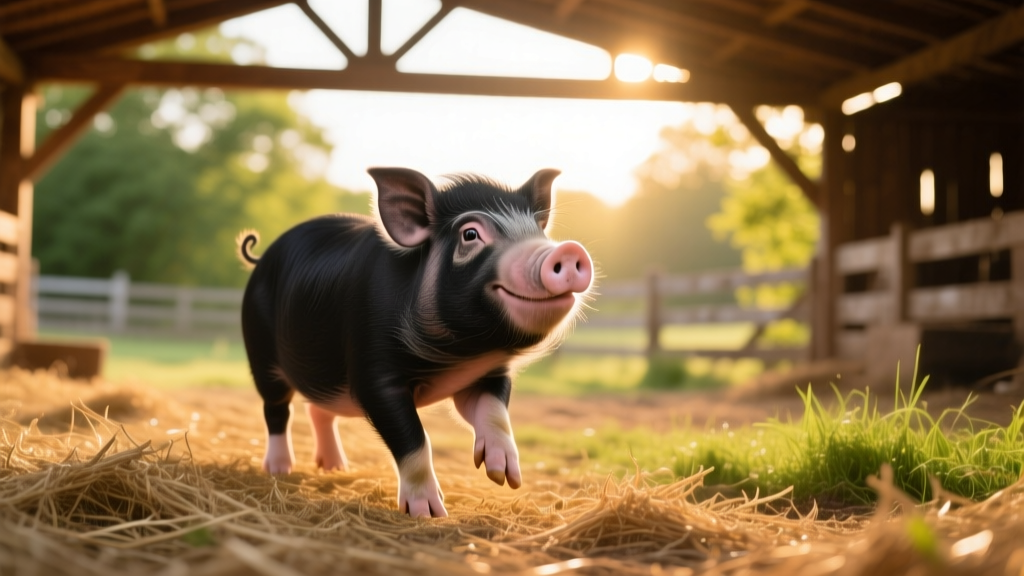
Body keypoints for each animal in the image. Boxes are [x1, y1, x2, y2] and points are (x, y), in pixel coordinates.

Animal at [236, 167, 593, 518]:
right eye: (470, 235)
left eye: (537, 231)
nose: (568, 250)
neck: (458, 355)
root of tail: (262, 258)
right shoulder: (374, 377)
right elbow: (413, 439)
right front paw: (428, 514)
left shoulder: (488, 375)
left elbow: (493, 413)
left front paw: (504, 476)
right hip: (261, 354)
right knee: (277, 411)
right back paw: (279, 469)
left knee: (318, 409)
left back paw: (336, 468)